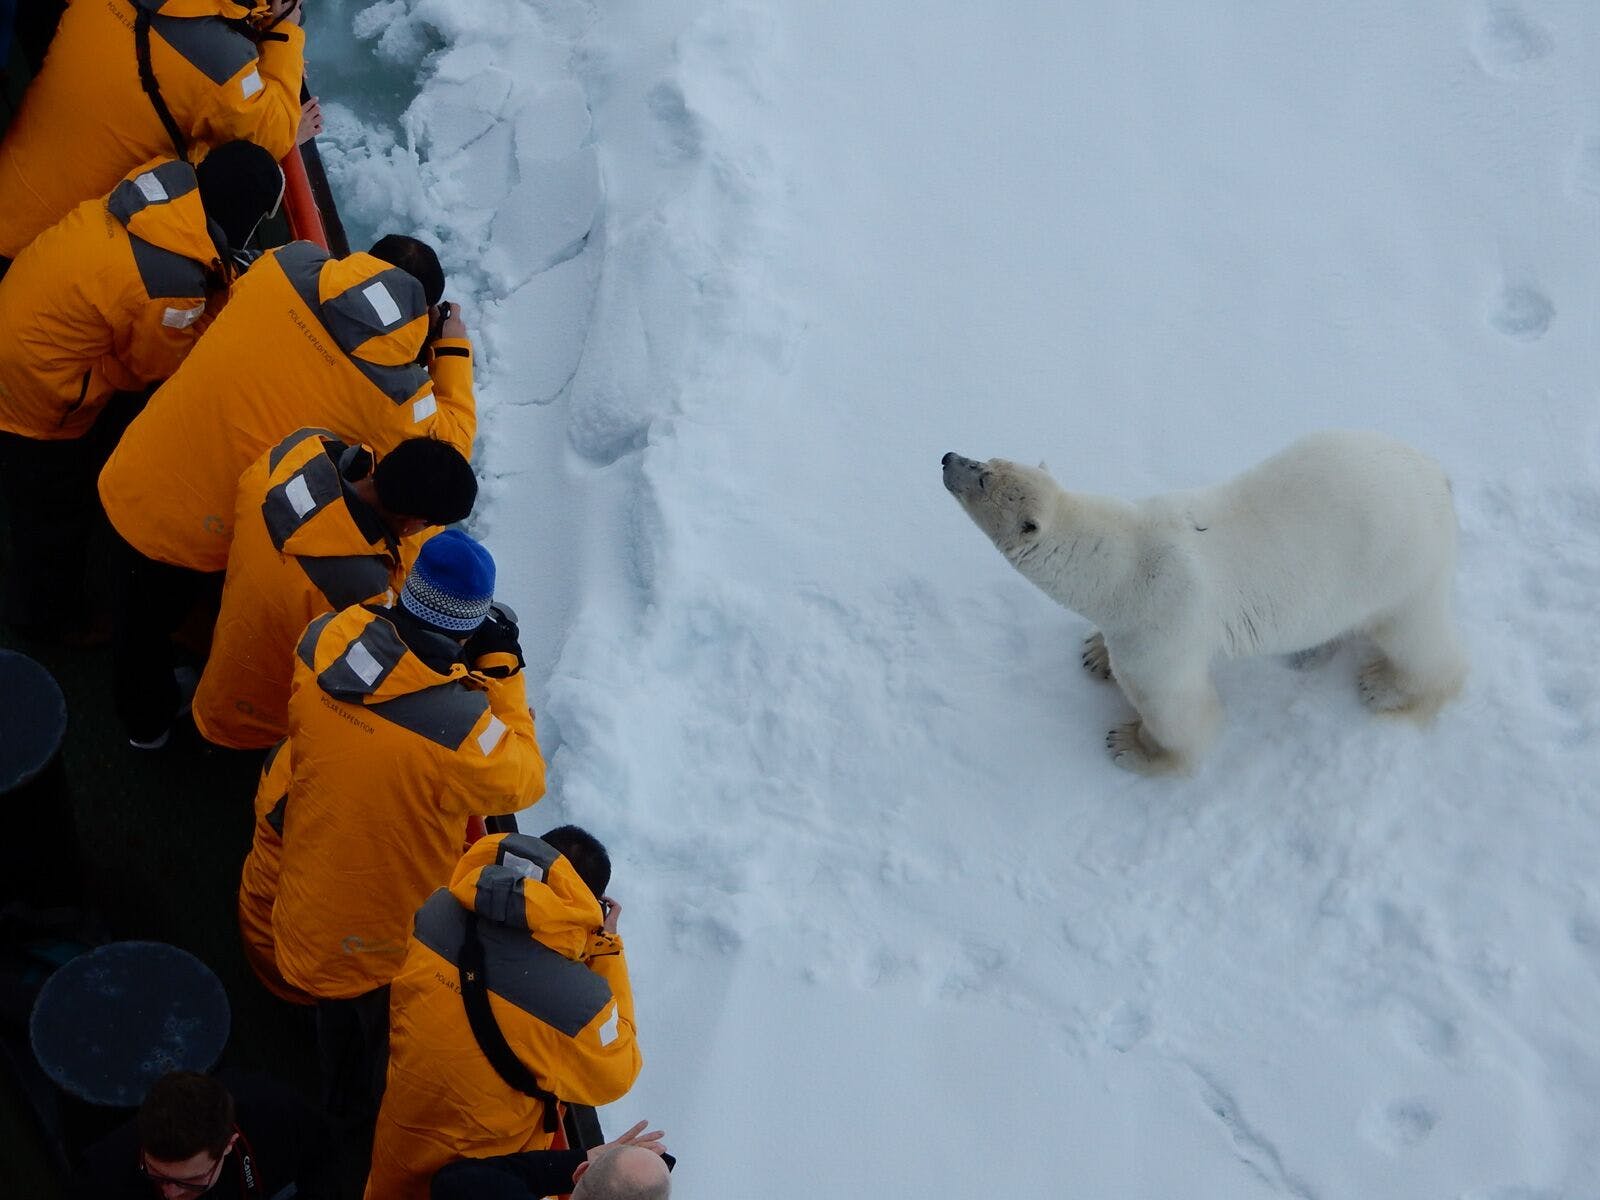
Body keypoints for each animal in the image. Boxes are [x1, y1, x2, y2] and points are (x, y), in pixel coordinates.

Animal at [940, 432, 1465, 780]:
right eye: (989, 457)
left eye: (984, 477)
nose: (947, 457)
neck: (1122, 561)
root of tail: (1439, 476)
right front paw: (1094, 651)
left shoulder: (1161, 627)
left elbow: (1182, 713)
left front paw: (1130, 745)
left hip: (1397, 567)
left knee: (1418, 638)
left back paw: (1388, 687)